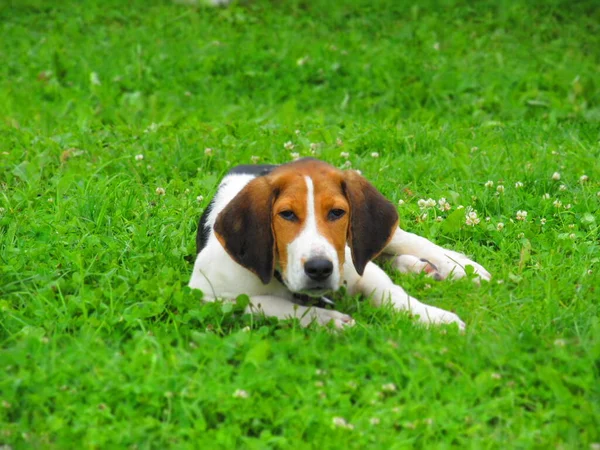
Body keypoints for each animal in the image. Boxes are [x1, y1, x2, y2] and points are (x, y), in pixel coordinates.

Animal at [190, 158, 490, 330]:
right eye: (286, 214)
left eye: (336, 213)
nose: (319, 269)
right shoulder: (203, 294)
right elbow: (266, 303)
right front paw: (326, 320)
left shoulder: (353, 264)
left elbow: (392, 293)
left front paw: (434, 317)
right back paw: (418, 268)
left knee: (408, 241)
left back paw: (459, 266)